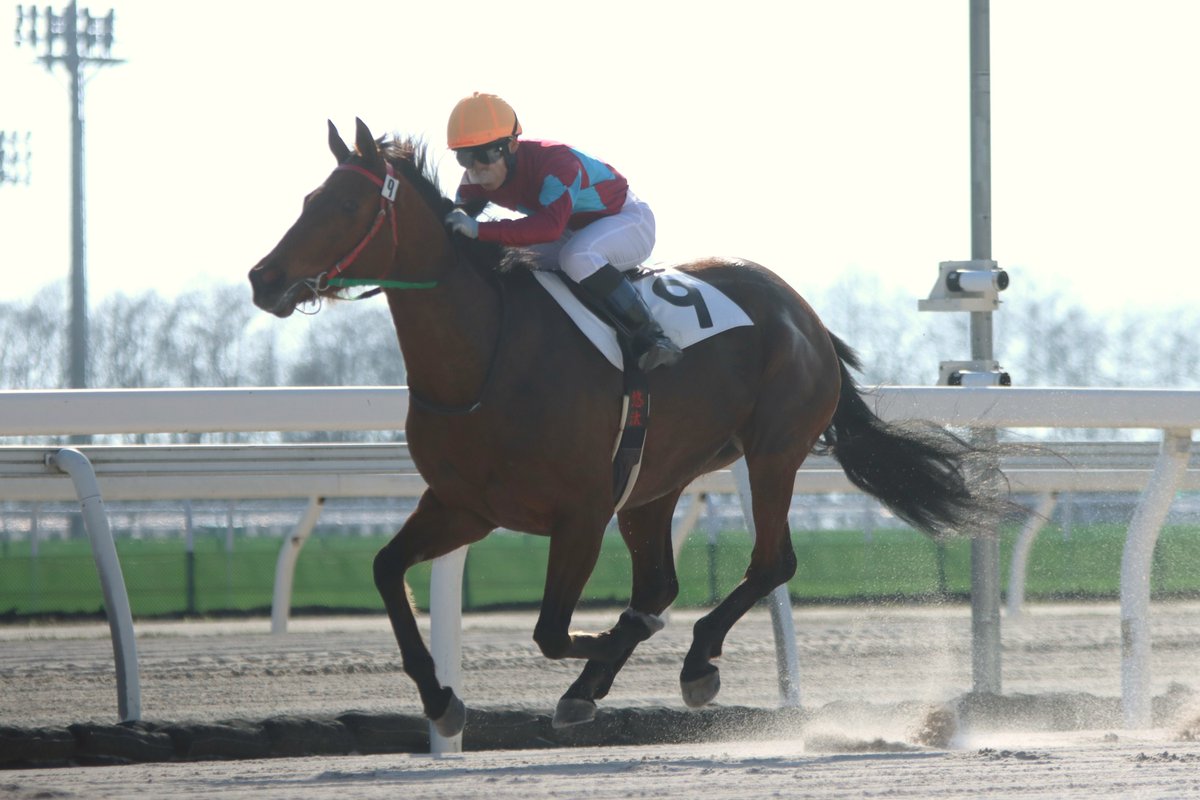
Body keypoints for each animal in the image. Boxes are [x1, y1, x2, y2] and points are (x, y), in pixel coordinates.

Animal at [248, 118, 1010, 737]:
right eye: (308, 200)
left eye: (346, 205)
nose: (263, 278)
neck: (486, 357)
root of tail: (805, 315)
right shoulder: (464, 505)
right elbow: (386, 570)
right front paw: (442, 701)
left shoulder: (580, 514)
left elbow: (554, 631)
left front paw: (606, 652)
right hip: (656, 480)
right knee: (661, 585)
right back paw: (610, 677)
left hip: (772, 452)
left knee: (770, 563)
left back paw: (694, 662)